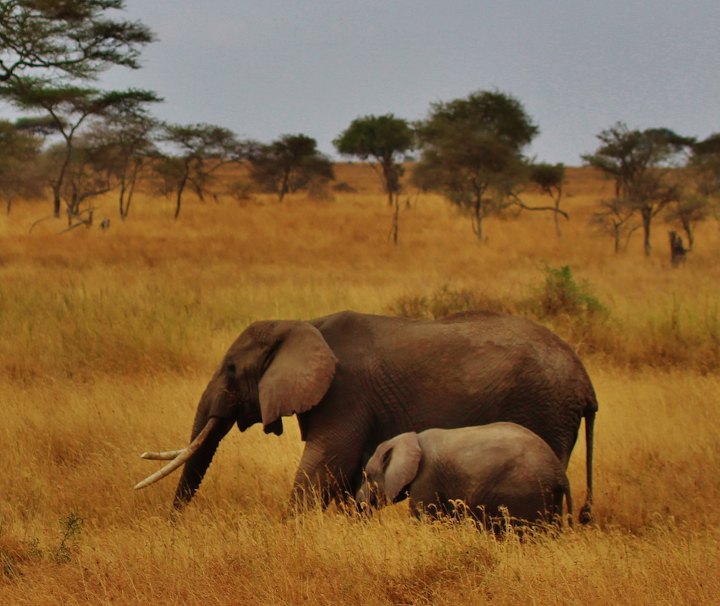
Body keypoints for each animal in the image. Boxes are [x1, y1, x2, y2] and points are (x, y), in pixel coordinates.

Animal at [356, 426, 572, 528]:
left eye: (367, 475)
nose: (358, 502)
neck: (412, 438)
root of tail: (559, 474)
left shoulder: (426, 478)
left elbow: (424, 517)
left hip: (525, 492)